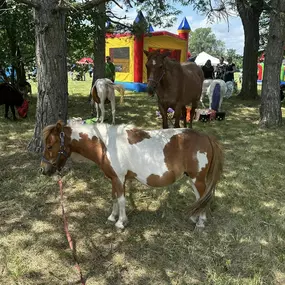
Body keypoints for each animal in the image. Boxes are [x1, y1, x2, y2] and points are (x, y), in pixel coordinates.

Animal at [40, 120, 223, 229]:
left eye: (49, 146)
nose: (43, 170)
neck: (106, 145)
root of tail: (207, 137)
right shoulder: (113, 179)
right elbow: (114, 198)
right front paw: (112, 217)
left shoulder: (119, 179)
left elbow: (121, 200)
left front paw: (121, 222)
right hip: (193, 179)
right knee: (199, 198)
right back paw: (195, 218)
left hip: (197, 179)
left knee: (203, 198)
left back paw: (200, 223)